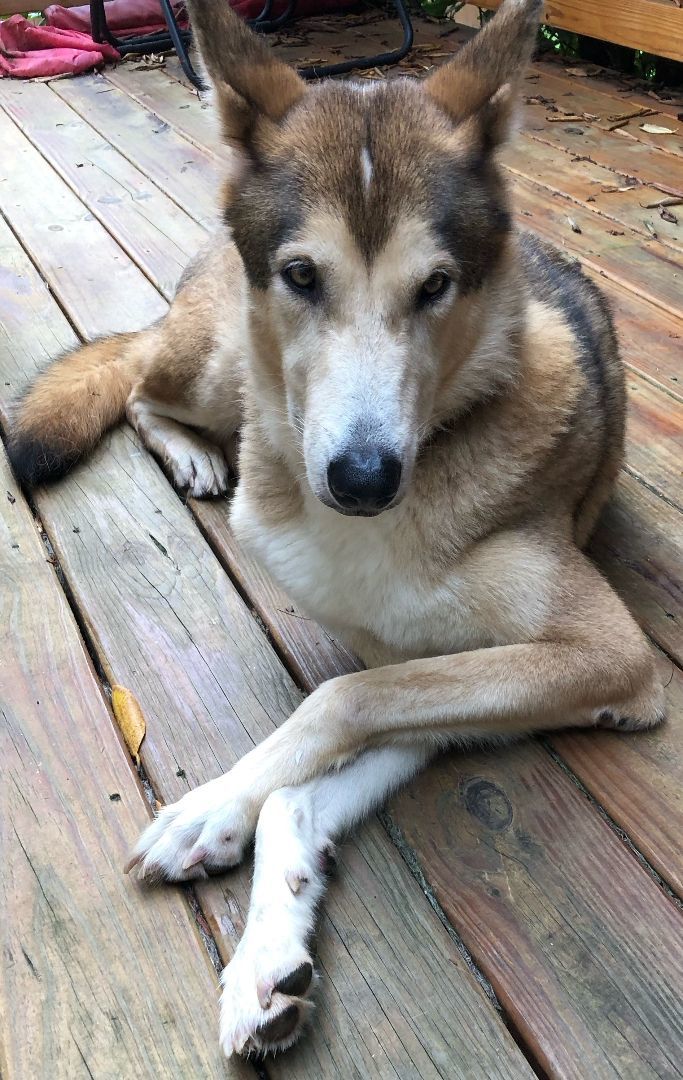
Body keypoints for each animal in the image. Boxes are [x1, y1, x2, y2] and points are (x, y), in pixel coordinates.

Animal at [8, 0, 665, 1058]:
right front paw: (248, 888)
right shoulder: (465, 661)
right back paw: (197, 456)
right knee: (143, 382)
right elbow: (333, 717)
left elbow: (331, 724)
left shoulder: (566, 662)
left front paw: (233, 853)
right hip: (219, 362)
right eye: (300, 274)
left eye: (435, 287)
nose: (360, 480)